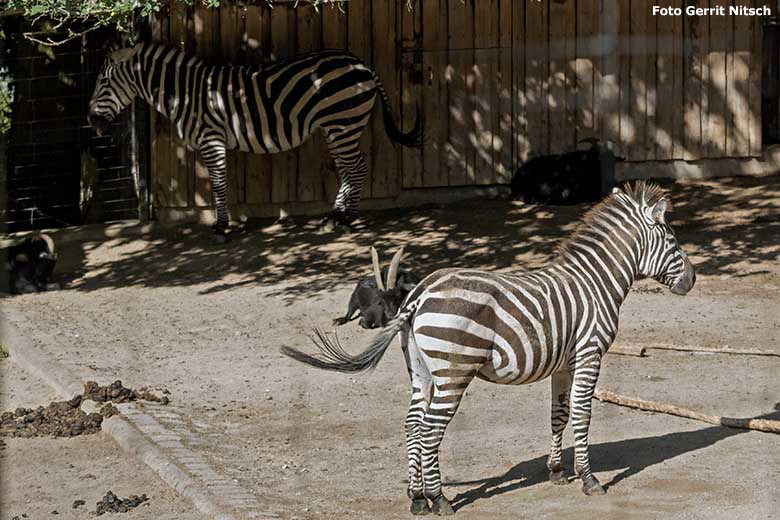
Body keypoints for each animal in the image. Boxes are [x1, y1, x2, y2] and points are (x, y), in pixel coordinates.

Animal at [88, 41, 424, 241]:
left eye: (103, 81)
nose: (91, 122)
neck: (186, 93)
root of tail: (361, 64)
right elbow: (220, 183)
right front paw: (225, 224)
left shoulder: (212, 139)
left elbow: (218, 183)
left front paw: (222, 227)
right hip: (337, 126)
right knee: (346, 170)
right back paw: (334, 216)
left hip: (343, 122)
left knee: (356, 168)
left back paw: (347, 219)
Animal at [284, 183, 696, 516]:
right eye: (673, 241)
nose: (692, 280)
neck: (596, 282)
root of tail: (417, 297)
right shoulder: (589, 353)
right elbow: (582, 415)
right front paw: (589, 478)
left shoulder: (564, 363)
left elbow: (558, 415)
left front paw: (556, 471)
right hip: (452, 372)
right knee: (431, 429)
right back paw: (439, 500)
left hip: (420, 369)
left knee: (413, 423)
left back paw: (417, 499)